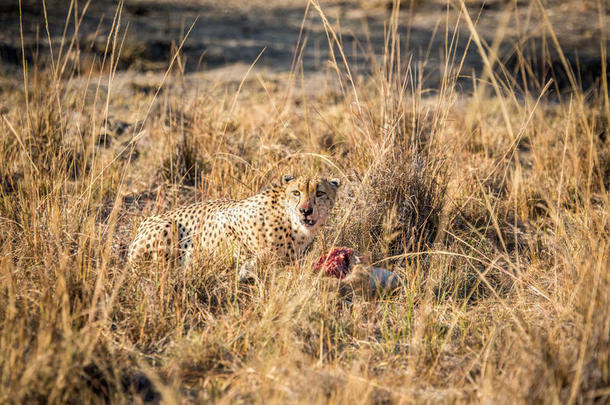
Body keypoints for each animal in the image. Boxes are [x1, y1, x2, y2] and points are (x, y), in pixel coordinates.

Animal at [127, 174, 342, 272]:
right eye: (296, 192)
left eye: (320, 193)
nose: (305, 211)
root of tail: (145, 221)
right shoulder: (225, 219)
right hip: (167, 226)